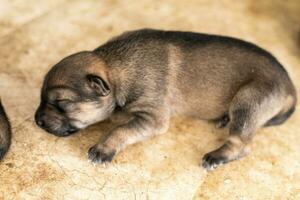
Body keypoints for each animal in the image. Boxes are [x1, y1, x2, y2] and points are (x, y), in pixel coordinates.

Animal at [34, 28, 296, 170]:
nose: (37, 121)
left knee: (241, 143)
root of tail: (290, 87)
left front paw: (103, 148)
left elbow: (120, 130)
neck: (116, 67)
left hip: (248, 100)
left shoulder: (153, 118)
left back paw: (216, 156)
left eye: (62, 103)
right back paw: (222, 119)